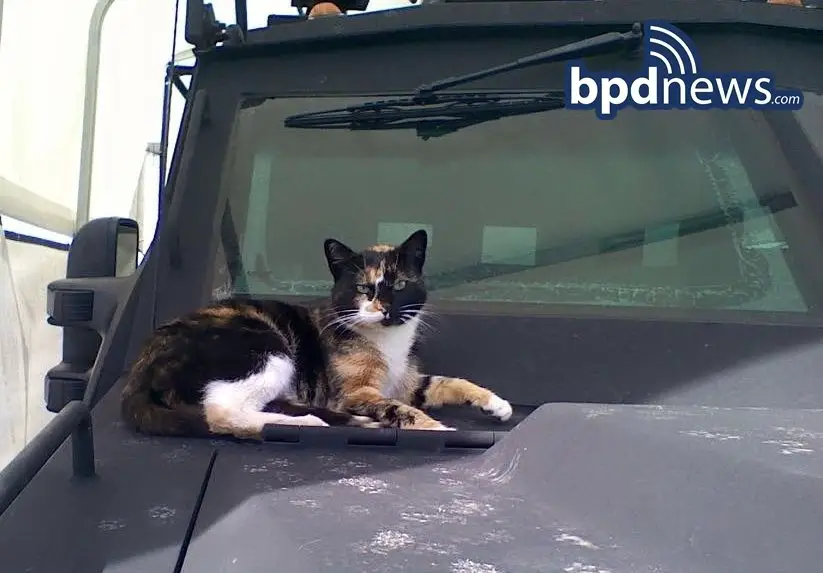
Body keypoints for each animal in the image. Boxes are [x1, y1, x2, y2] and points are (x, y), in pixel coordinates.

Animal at [119, 230, 512, 440]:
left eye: (400, 285)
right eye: (362, 288)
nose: (383, 308)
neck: (388, 343)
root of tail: (140, 368)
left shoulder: (409, 383)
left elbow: (449, 382)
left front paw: (496, 403)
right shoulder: (354, 393)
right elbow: (402, 410)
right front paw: (440, 429)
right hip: (266, 348)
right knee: (221, 413)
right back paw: (310, 422)